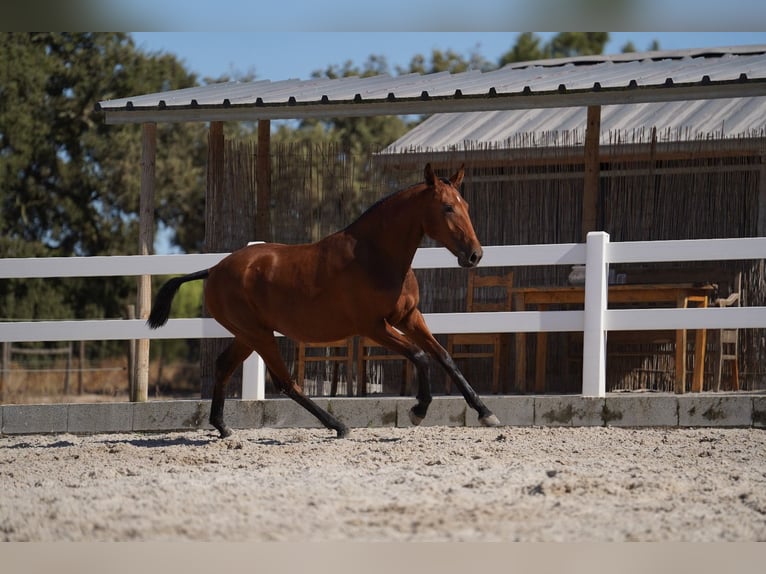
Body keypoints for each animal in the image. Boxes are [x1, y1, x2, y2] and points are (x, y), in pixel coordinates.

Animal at [147, 164, 500, 438]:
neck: (376, 255)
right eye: (447, 208)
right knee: (286, 382)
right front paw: (418, 410)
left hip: (248, 335)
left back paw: (222, 427)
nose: (475, 255)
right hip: (258, 335)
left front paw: (486, 413)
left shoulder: (409, 317)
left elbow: (444, 357)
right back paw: (339, 426)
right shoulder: (374, 327)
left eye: (466, 205)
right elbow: (420, 356)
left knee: (225, 367)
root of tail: (214, 269)